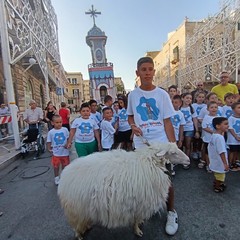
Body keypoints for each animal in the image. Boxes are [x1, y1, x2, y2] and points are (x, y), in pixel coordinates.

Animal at [57, 142, 189, 238]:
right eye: (173, 153)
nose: (188, 160)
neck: (150, 162)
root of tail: (65, 175)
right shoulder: (140, 204)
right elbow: (136, 220)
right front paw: (137, 231)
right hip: (76, 209)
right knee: (76, 226)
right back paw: (79, 235)